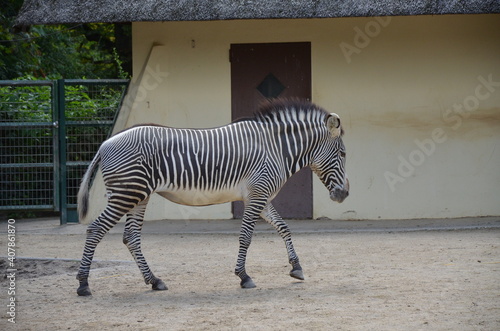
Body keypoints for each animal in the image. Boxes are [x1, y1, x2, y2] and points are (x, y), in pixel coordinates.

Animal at [76, 98, 348, 296]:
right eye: (343, 154)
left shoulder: (260, 197)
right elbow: (246, 237)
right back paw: (83, 284)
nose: (344, 194)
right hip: (125, 194)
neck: (276, 149)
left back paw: (154, 280)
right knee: (95, 229)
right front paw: (244, 276)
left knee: (131, 238)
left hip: (138, 196)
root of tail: (105, 144)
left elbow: (284, 227)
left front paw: (297, 268)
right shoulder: (257, 195)